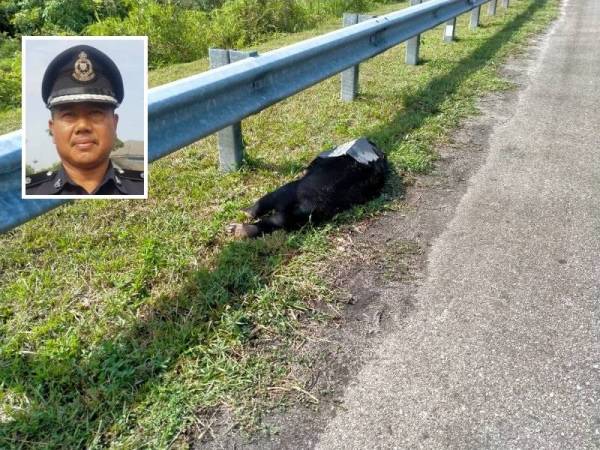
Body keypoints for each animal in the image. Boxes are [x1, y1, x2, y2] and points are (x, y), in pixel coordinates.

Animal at [227, 139, 386, 239]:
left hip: (288, 193)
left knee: (268, 208)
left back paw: (239, 222)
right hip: (295, 214)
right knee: (274, 221)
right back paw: (240, 227)